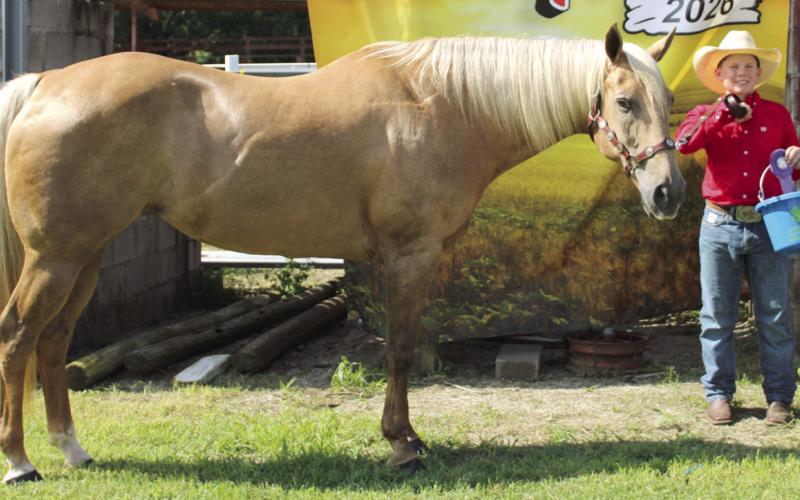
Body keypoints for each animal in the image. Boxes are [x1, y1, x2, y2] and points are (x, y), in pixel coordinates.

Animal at [0, 24, 682, 482]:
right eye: (625, 101)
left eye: (670, 102)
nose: (668, 192)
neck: (440, 103)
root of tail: (45, 84)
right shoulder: (410, 256)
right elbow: (401, 350)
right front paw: (403, 445)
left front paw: (407, 438)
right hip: (55, 258)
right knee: (18, 339)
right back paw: (21, 463)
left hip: (85, 258)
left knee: (54, 343)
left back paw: (73, 450)